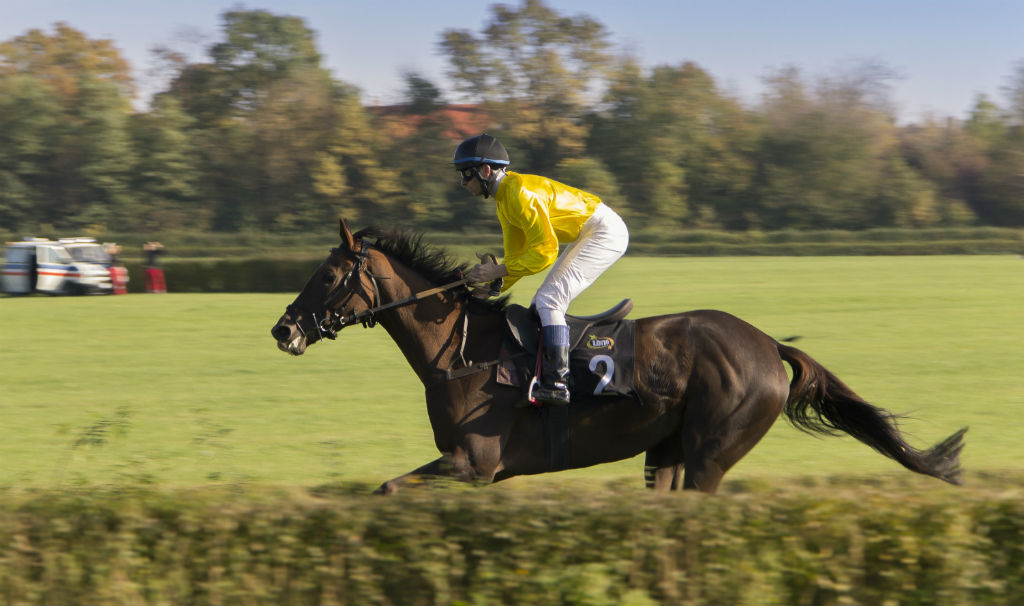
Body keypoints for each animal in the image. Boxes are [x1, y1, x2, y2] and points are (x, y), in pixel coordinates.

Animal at [270, 220, 967, 494]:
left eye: (328, 275)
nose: (283, 330)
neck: (463, 350)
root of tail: (769, 345)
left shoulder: (473, 463)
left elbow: (388, 487)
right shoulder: (473, 470)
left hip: (712, 452)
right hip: (668, 451)